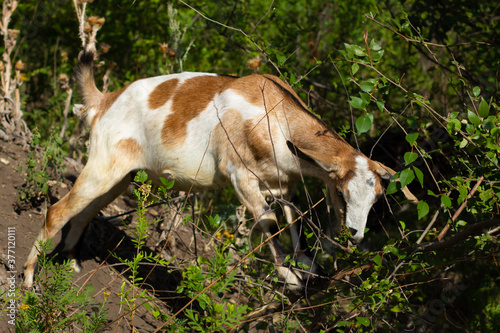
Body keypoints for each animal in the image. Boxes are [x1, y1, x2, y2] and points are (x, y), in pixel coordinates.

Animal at [21, 50, 416, 290]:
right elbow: (268, 223)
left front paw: (305, 262)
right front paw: (289, 276)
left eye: (377, 198)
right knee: (58, 210)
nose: (355, 234)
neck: (276, 115)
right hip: (102, 166)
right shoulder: (241, 177)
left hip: (121, 177)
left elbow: (293, 219)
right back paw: (27, 280)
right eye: (342, 191)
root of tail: (104, 101)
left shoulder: (283, 183)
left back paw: (70, 261)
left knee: (85, 211)